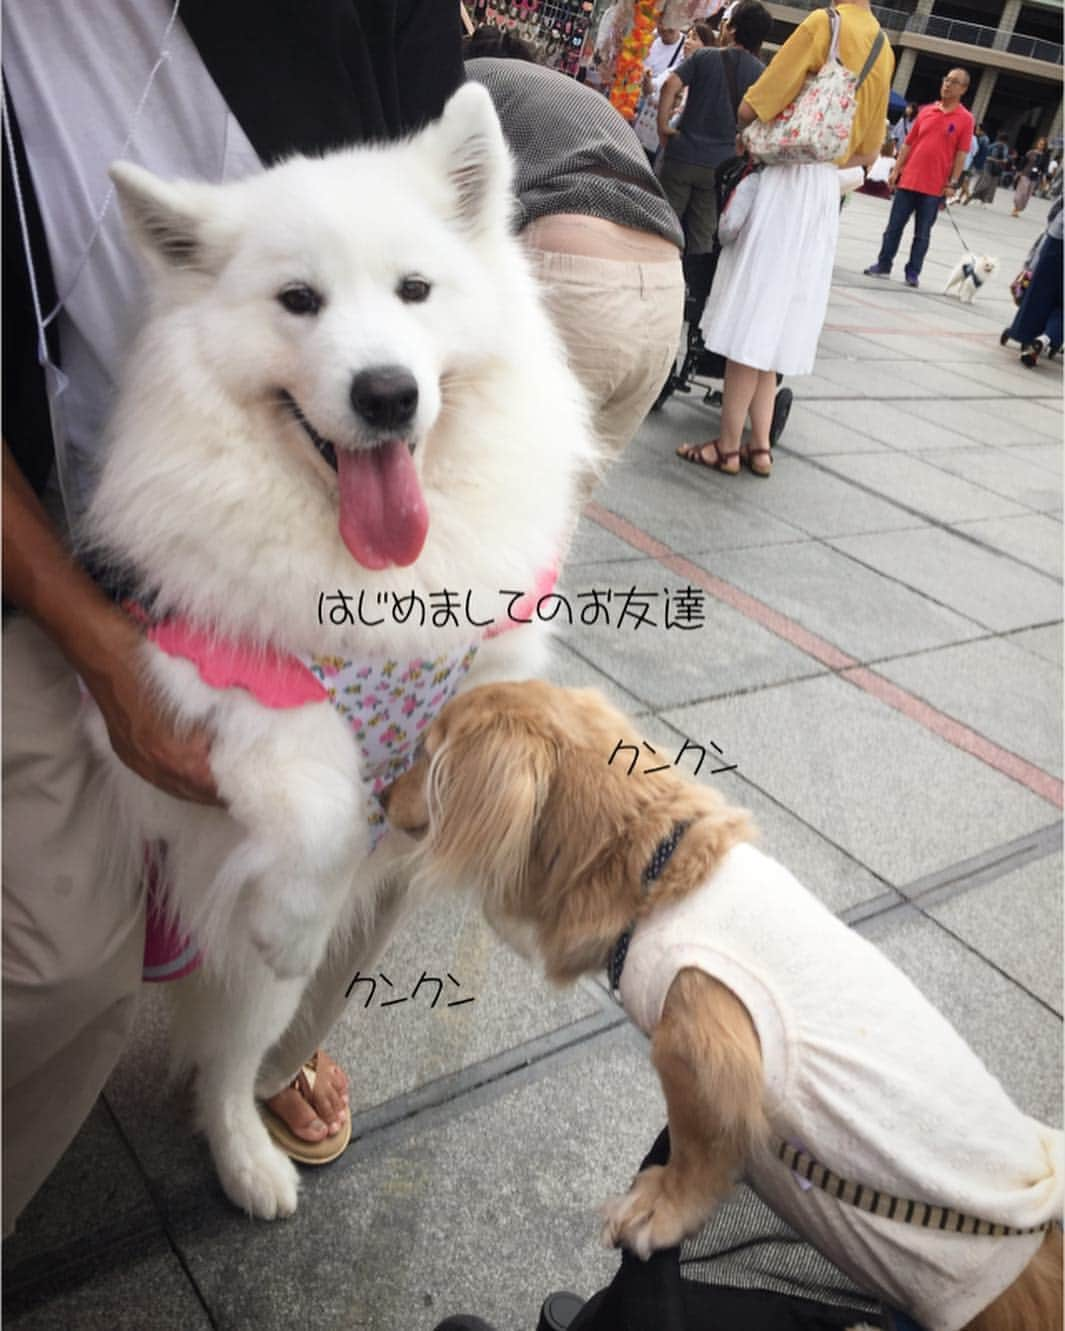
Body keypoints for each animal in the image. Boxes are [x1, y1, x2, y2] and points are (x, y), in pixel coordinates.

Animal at [81, 85, 599, 1219]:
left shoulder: (487, 659)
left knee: (227, 1063)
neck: (366, 564)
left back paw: (246, 1158)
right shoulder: (199, 673)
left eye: (415, 290)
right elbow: (317, 781)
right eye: (298, 301)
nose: (386, 394)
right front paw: (296, 910)